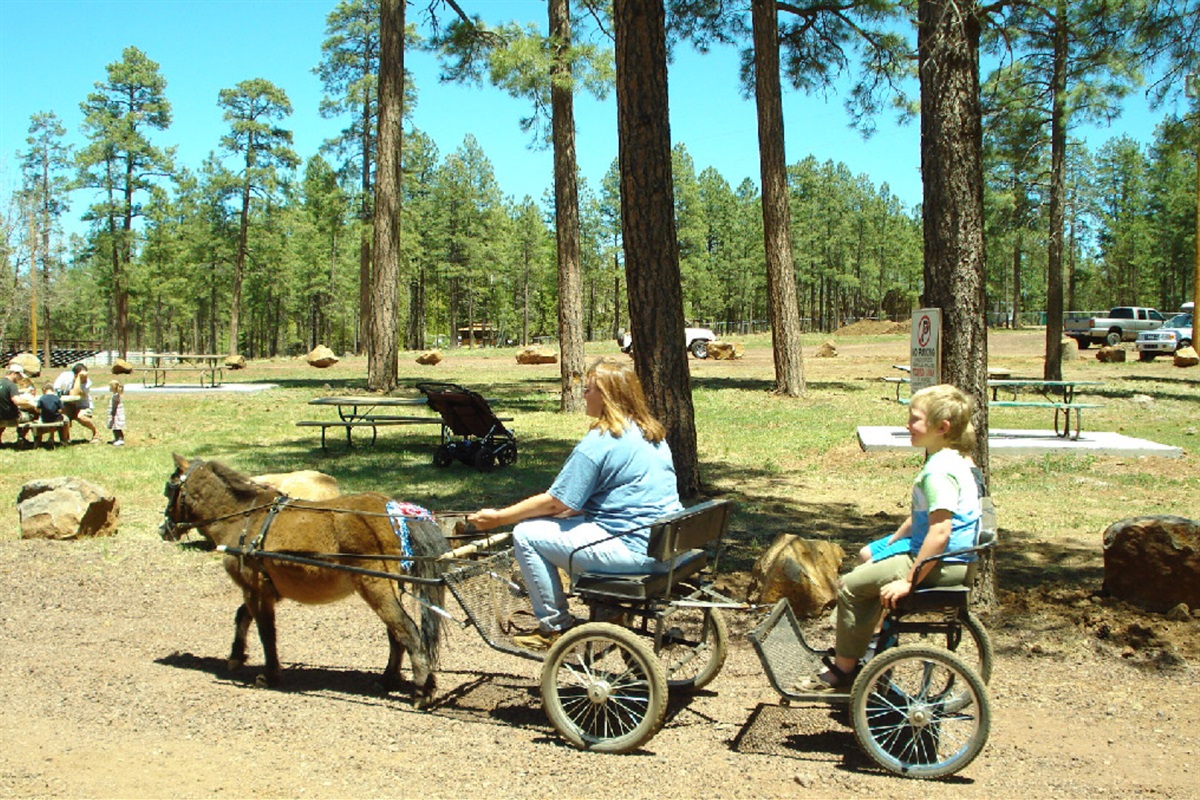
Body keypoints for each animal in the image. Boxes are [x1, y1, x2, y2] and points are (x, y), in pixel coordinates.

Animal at [160, 454, 448, 708]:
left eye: (170, 487)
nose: (163, 529)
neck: (242, 518)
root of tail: (394, 510)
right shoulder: (260, 589)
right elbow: (243, 616)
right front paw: (236, 656)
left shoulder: (255, 590)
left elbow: (266, 632)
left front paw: (269, 675)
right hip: (386, 588)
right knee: (396, 634)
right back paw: (389, 680)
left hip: (375, 587)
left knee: (407, 631)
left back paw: (420, 691)